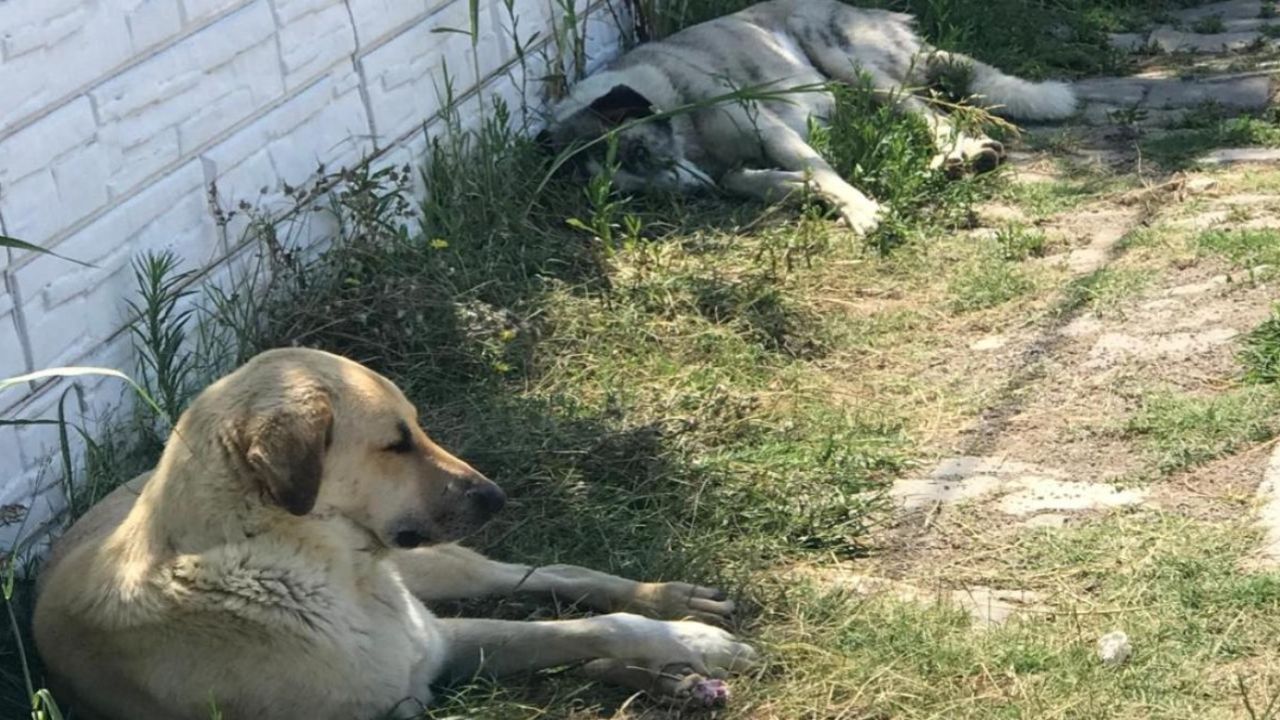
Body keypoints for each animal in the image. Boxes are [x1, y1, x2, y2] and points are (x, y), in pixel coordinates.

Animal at [35, 345, 752, 712]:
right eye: (396, 443)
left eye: (418, 427)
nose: (497, 496)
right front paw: (668, 662)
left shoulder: (439, 641)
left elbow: (591, 626)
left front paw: (686, 638)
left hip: (439, 568)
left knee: (542, 574)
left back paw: (670, 599)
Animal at [542, 0, 1080, 234]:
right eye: (632, 191)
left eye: (638, 151)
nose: (696, 194)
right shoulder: (733, 169)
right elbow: (767, 181)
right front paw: (802, 194)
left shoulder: (770, 130)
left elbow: (822, 173)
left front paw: (863, 211)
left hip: (849, 62)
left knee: (927, 112)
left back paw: (961, 152)